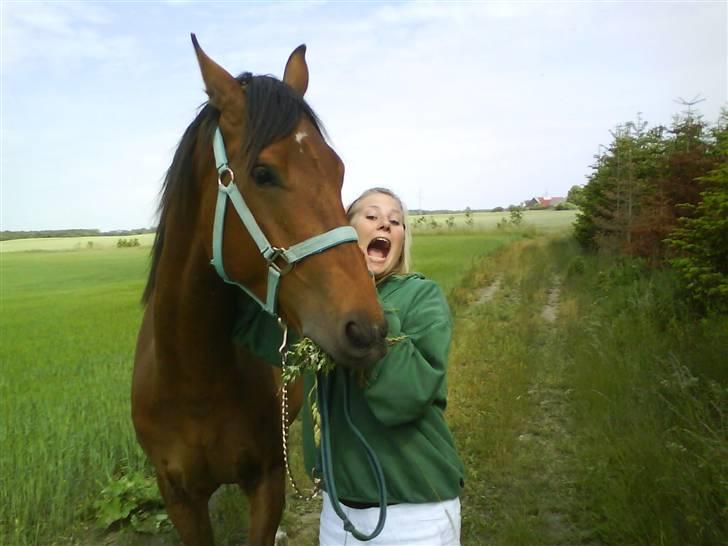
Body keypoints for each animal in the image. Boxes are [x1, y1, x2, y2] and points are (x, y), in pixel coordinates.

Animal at [134, 38, 390, 544]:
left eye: (337, 169)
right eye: (263, 173)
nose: (366, 329)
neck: (193, 378)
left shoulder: (268, 479)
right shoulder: (179, 497)